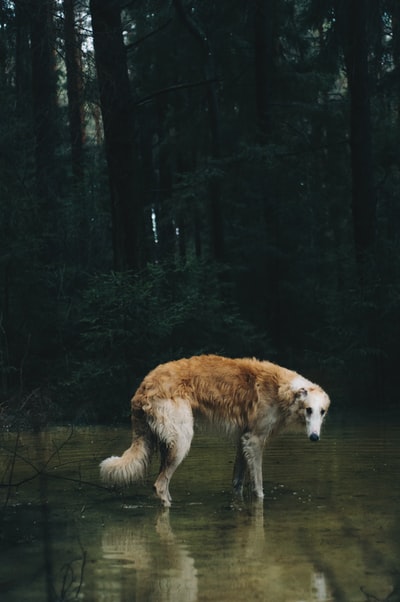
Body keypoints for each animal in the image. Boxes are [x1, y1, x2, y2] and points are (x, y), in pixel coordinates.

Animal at [98, 354, 330, 504]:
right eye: (309, 410)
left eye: (322, 412)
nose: (315, 437)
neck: (282, 389)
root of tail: (144, 386)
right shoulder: (254, 441)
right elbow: (259, 489)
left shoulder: (242, 441)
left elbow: (237, 483)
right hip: (181, 440)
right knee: (160, 485)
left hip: (165, 441)